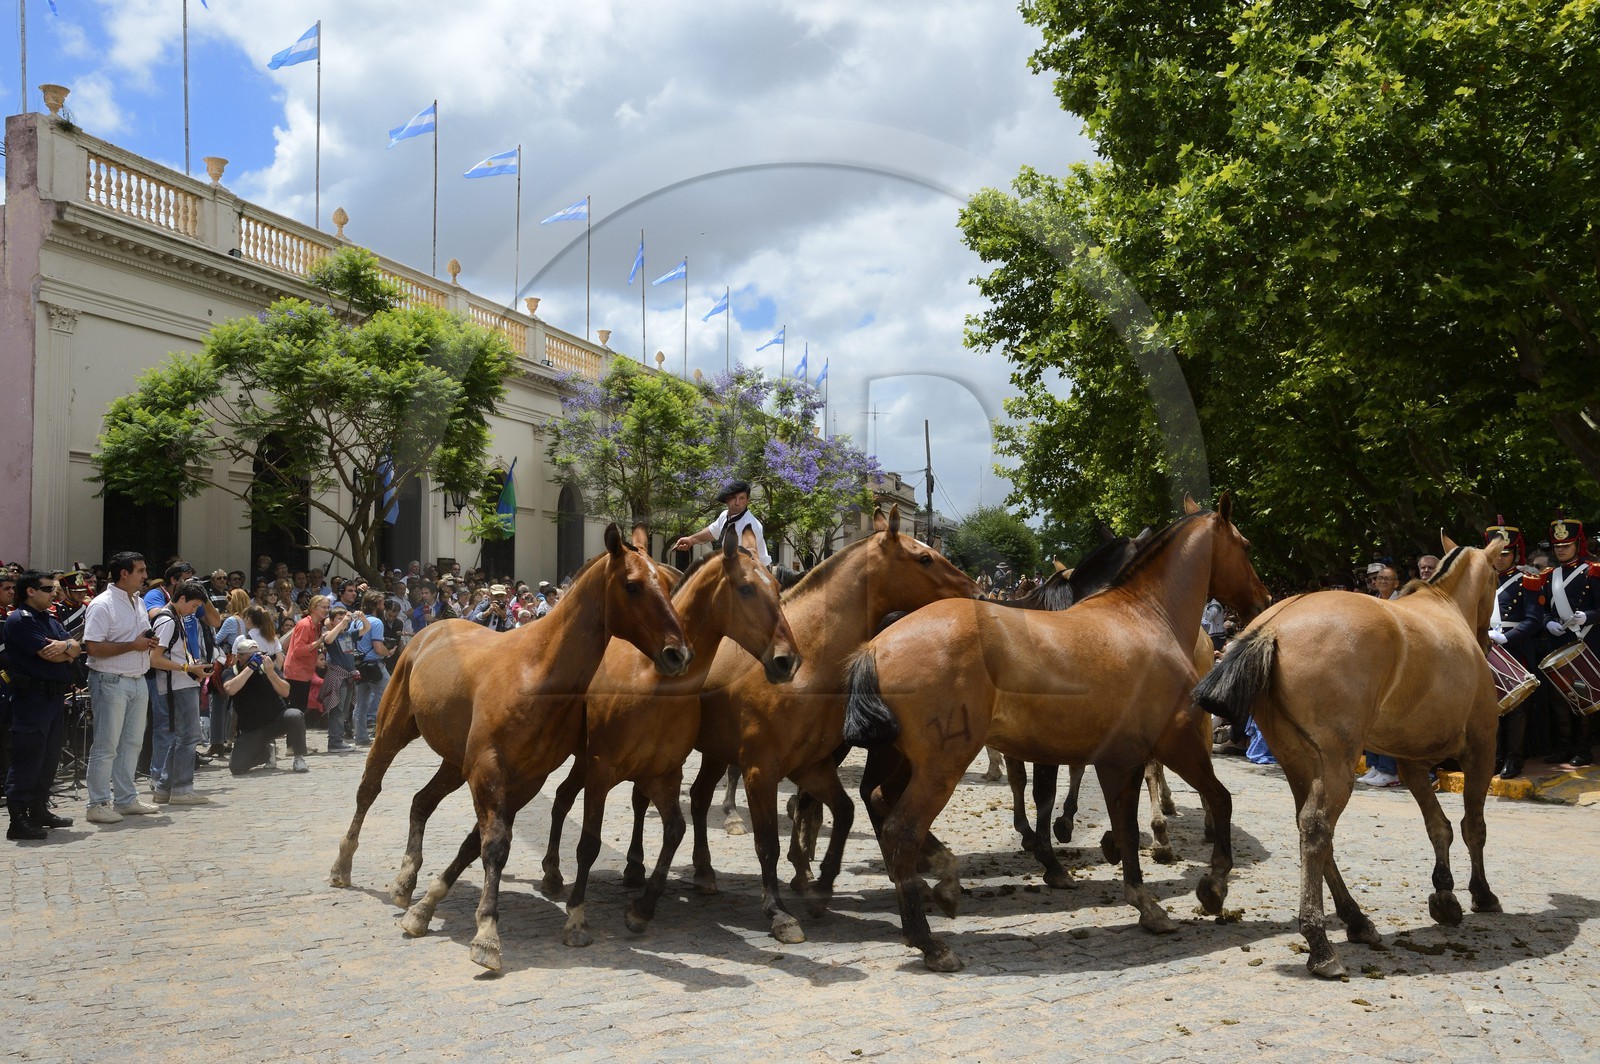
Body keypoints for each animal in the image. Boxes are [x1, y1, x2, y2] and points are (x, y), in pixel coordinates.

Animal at [327, 523, 690, 971]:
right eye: (633, 585)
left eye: (668, 583)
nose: (678, 653)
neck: (537, 673)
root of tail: (432, 629)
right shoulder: (488, 768)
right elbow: (495, 845)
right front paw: (486, 935)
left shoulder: (525, 778)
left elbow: (478, 842)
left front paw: (426, 907)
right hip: (392, 730)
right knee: (369, 789)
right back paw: (343, 866)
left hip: (454, 762)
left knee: (421, 801)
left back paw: (405, 880)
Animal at [536, 527, 801, 946]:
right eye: (745, 588)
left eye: (777, 588)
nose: (787, 660)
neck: (652, 681)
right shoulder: (601, 768)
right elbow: (589, 842)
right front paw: (577, 918)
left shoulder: (664, 772)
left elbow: (675, 829)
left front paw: (642, 909)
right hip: (584, 761)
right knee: (562, 799)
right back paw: (552, 872)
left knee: (571, 796)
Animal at [644, 505, 979, 945]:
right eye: (924, 557)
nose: (977, 594)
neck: (807, 662)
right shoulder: (761, 770)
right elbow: (768, 842)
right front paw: (779, 911)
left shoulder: (813, 765)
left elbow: (842, 812)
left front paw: (820, 886)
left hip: (716, 752)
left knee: (700, 798)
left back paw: (704, 872)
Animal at [843, 495, 1270, 971]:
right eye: (1246, 545)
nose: (1265, 599)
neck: (1142, 619)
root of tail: (876, 645)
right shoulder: (1176, 743)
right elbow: (1219, 799)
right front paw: (1213, 887)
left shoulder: (1117, 757)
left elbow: (1123, 825)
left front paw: (1145, 903)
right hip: (942, 765)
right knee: (901, 828)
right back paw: (929, 939)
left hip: (903, 758)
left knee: (880, 801)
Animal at [1193, 533, 1505, 979]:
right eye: (1497, 577)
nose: (1490, 637)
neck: (1442, 607)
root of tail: (1272, 627)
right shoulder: (1481, 748)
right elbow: (1472, 826)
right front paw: (1480, 893)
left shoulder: (1410, 761)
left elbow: (1438, 826)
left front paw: (1445, 894)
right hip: (1337, 763)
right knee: (1317, 828)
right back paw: (1320, 942)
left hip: (1298, 760)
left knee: (1311, 831)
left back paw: (1355, 919)